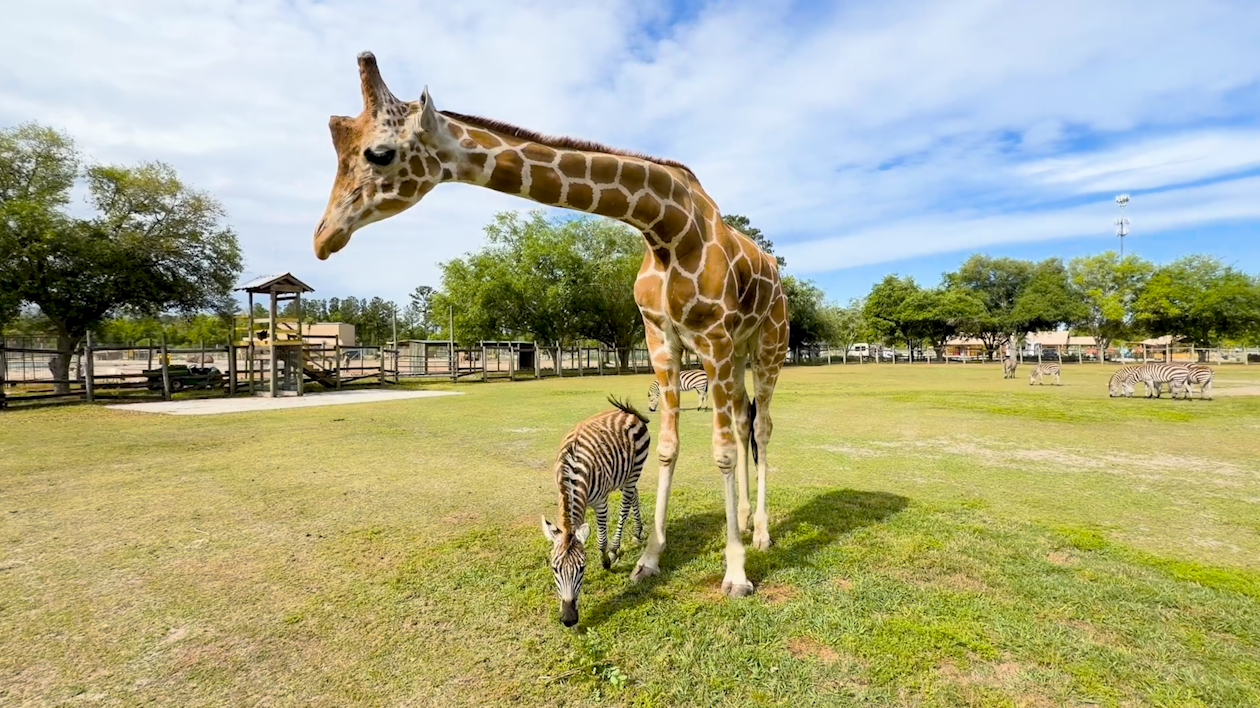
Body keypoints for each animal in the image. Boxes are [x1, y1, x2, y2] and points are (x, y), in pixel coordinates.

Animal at [313, 52, 788, 597]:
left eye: (379, 153)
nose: (323, 237)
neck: (667, 228)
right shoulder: (661, 338)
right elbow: (669, 447)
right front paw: (649, 559)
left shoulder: (712, 335)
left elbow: (723, 452)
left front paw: (736, 573)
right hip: (739, 352)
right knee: (744, 421)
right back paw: (748, 520)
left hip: (767, 346)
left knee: (762, 426)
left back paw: (762, 533)